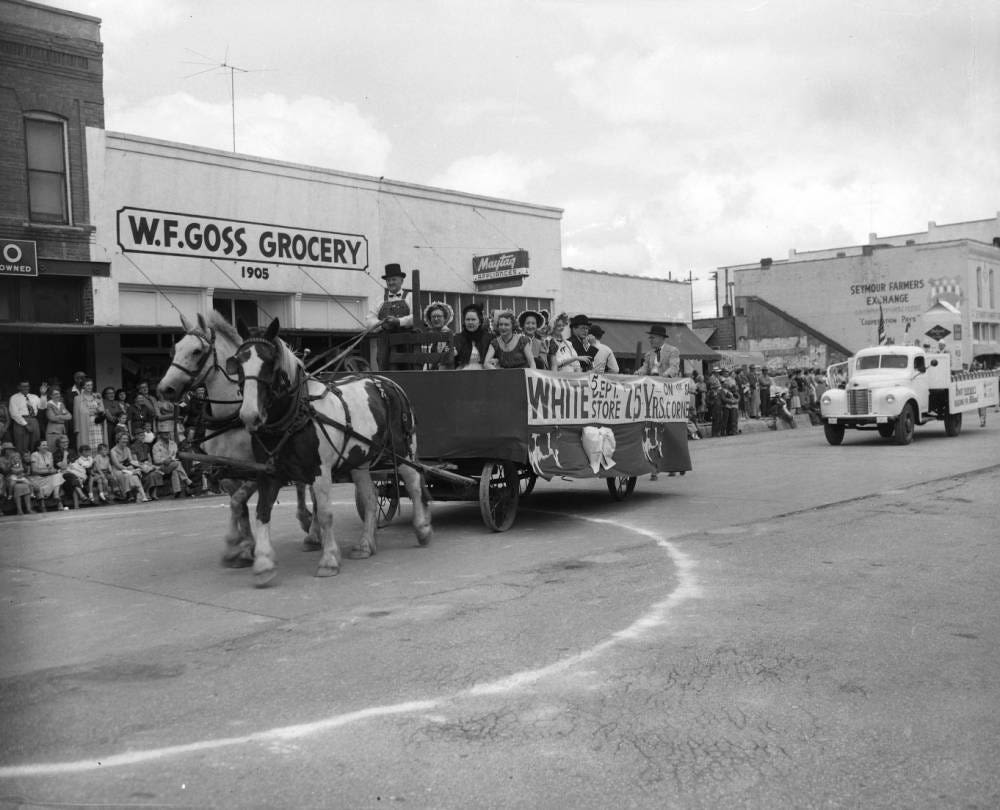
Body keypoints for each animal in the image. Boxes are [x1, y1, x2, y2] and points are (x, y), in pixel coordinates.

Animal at [156, 310, 314, 568]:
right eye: (175, 348)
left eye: (196, 351)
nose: (165, 388)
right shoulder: (227, 470)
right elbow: (239, 507)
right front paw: (245, 546)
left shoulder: (261, 469)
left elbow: (237, 502)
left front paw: (235, 544)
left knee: (306, 484)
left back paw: (310, 526)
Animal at [230, 318, 434, 588]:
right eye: (239, 361)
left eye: (269, 362)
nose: (249, 416)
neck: (297, 415)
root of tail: (387, 381)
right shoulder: (268, 473)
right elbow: (262, 512)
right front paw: (263, 564)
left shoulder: (321, 471)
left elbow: (325, 513)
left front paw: (328, 560)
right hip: (360, 460)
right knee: (371, 497)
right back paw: (365, 544)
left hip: (403, 451)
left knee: (413, 483)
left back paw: (422, 529)